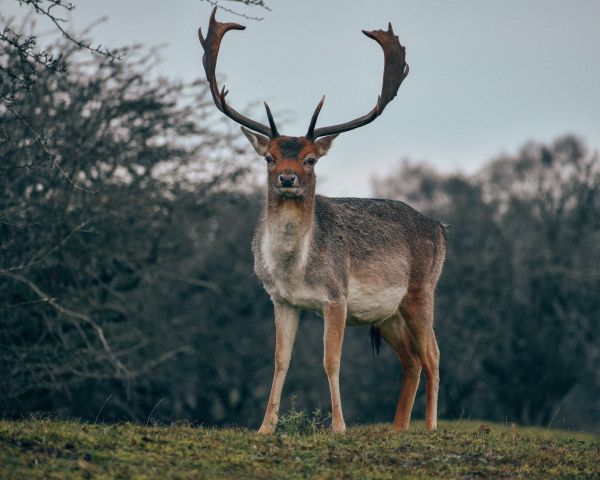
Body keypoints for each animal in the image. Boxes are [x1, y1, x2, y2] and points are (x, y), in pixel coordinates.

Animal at [200, 7, 446, 436]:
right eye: (270, 157)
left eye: (311, 159)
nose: (287, 178)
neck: (295, 268)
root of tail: (440, 228)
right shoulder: (280, 300)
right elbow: (280, 361)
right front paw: (265, 427)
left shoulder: (336, 296)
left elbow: (331, 361)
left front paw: (339, 427)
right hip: (388, 314)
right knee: (412, 359)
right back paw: (397, 428)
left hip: (421, 290)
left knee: (433, 353)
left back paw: (429, 427)